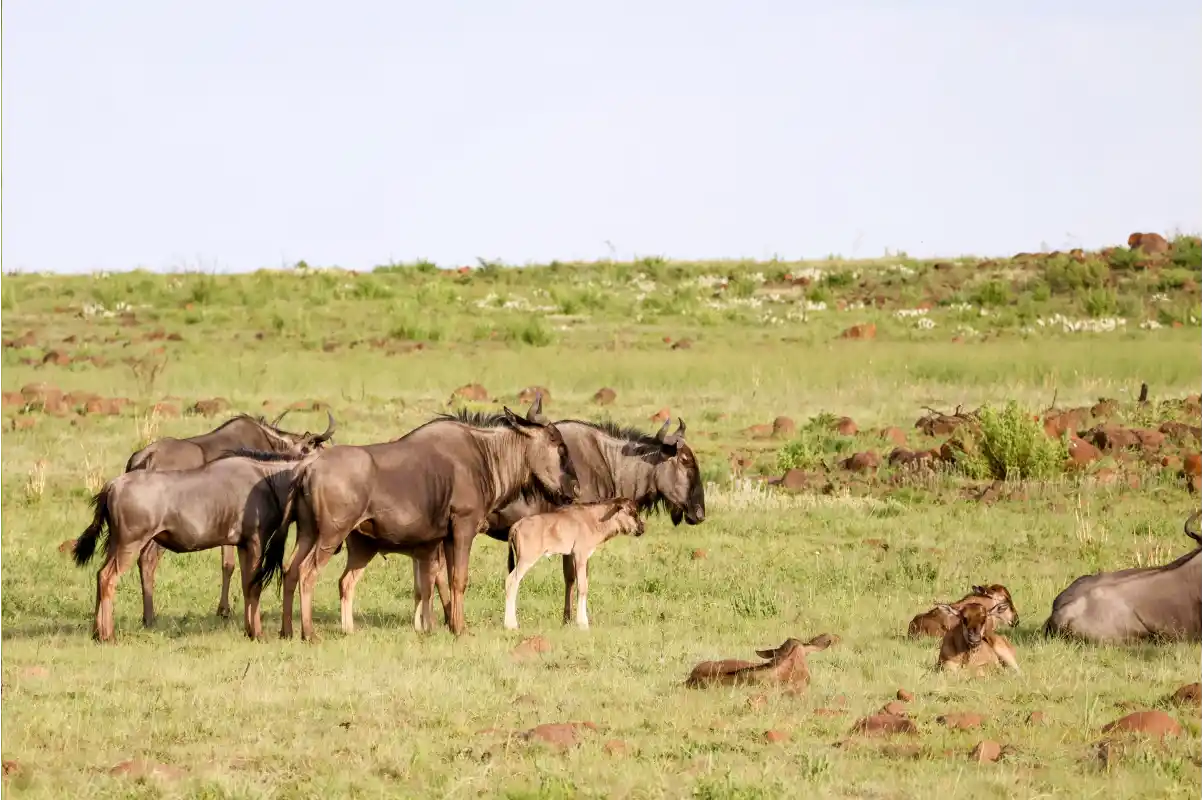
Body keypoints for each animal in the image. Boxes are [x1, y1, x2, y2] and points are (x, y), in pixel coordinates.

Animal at [72, 449, 314, 642]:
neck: (266, 479)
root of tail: (112, 486)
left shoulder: (243, 545)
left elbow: (246, 586)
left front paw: (249, 631)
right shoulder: (256, 541)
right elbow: (254, 587)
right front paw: (258, 633)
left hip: (115, 545)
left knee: (99, 575)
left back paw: (96, 632)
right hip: (129, 546)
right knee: (107, 578)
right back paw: (107, 635)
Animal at [249, 396, 579, 640]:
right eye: (558, 444)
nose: (575, 488)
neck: (485, 455)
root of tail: (308, 466)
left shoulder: (445, 538)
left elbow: (443, 582)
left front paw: (448, 626)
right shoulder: (463, 528)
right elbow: (459, 579)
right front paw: (460, 629)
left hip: (308, 532)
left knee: (290, 570)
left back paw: (287, 631)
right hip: (331, 535)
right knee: (307, 573)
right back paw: (309, 634)